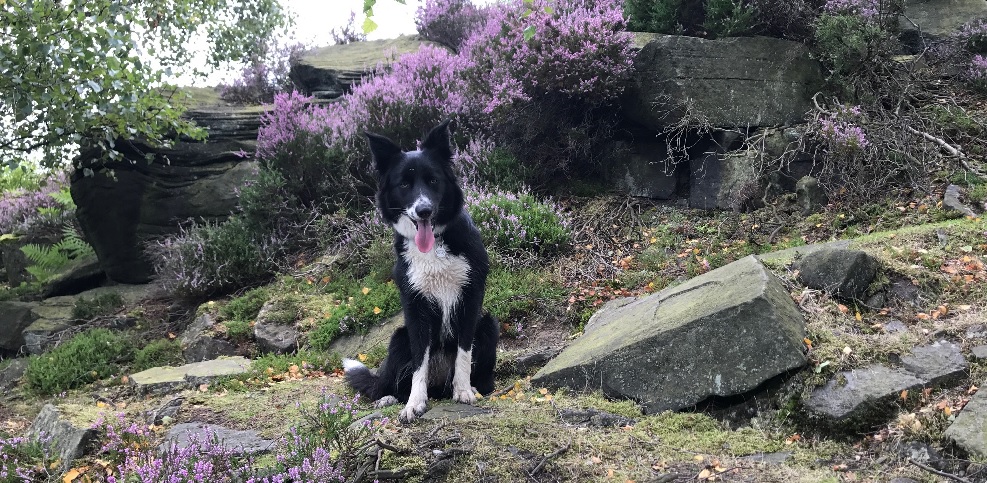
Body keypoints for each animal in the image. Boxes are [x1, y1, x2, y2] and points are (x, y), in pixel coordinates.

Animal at [348, 121, 502, 424]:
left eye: (432, 181)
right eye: (404, 184)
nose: (424, 210)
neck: (435, 246)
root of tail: (439, 385)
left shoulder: (470, 297)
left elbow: (463, 353)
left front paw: (463, 390)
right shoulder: (415, 305)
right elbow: (420, 361)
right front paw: (414, 403)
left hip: (489, 324)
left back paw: (475, 387)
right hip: (398, 339)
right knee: (389, 383)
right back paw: (387, 397)